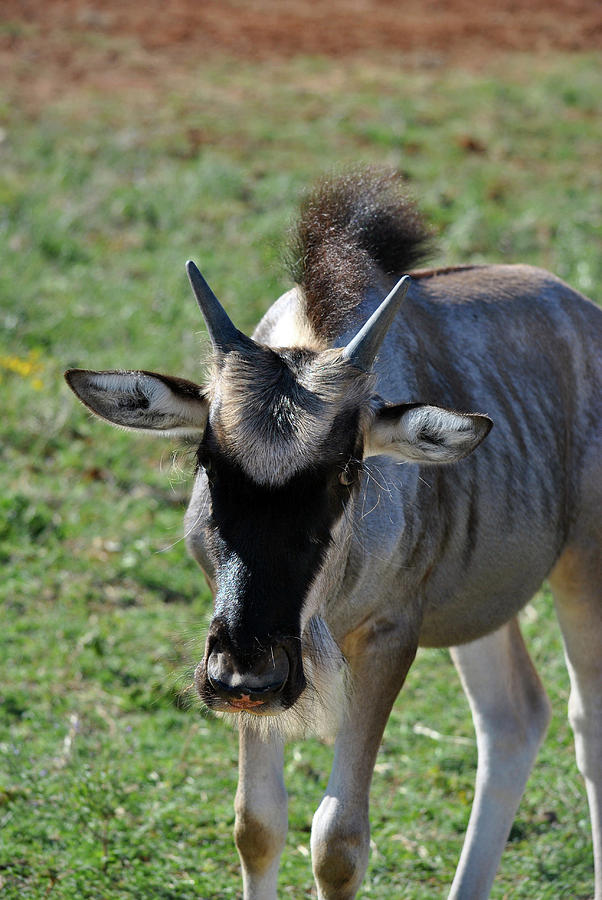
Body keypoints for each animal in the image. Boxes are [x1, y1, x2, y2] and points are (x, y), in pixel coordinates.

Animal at [67, 171, 600, 900]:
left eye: (348, 467)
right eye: (207, 459)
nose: (250, 669)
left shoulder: (388, 638)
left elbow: (338, 843)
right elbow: (257, 824)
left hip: (582, 575)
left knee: (586, 727)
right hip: (480, 607)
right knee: (513, 718)